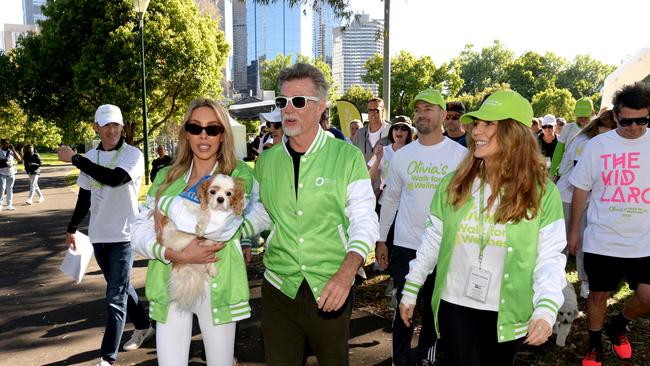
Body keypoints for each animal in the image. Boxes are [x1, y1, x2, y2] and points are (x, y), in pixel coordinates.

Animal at [161, 173, 244, 310]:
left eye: (229, 194)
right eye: (212, 191)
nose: (220, 199)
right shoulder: (190, 205)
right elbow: (204, 211)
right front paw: (201, 227)